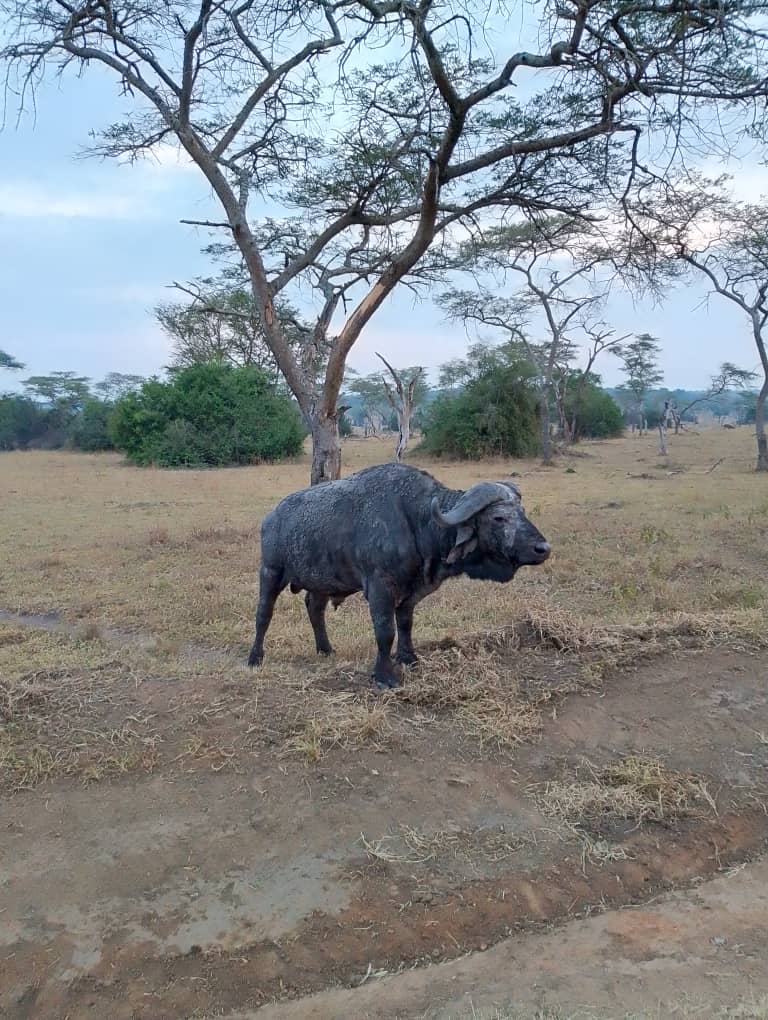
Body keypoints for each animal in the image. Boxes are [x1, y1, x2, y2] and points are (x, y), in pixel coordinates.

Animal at [248, 463, 550, 687]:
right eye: (499, 518)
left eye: (522, 512)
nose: (543, 549)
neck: (416, 520)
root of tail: (271, 517)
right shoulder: (380, 588)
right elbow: (385, 632)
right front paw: (384, 675)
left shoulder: (411, 592)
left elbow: (405, 625)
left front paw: (408, 658)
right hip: (270, 572)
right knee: (264, 614)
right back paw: (255, 657)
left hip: (320, 583)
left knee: (314, 608)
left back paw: (325, 649)